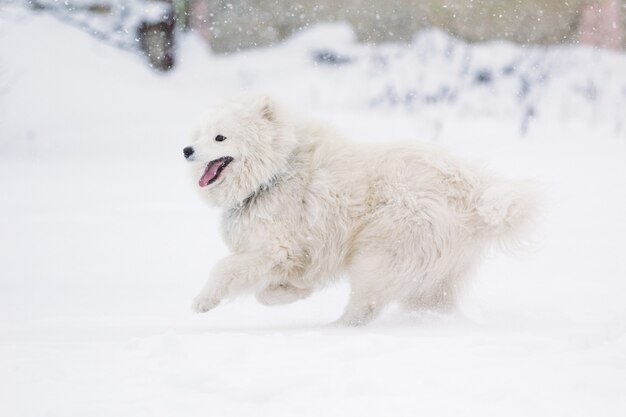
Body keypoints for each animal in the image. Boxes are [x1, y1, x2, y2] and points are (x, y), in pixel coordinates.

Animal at [180, 94, 532, 324]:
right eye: (199, 134)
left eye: (220, 137)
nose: (186, 150)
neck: (275, 173)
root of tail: (476, 196)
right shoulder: (289, 255)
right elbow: (271, 290)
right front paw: (292, 291)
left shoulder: (277, 247)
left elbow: (225, 269)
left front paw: (203, 302)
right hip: (436, 273)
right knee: (428, 303)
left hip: (379, 252)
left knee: (365, 306)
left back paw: (335, 329)